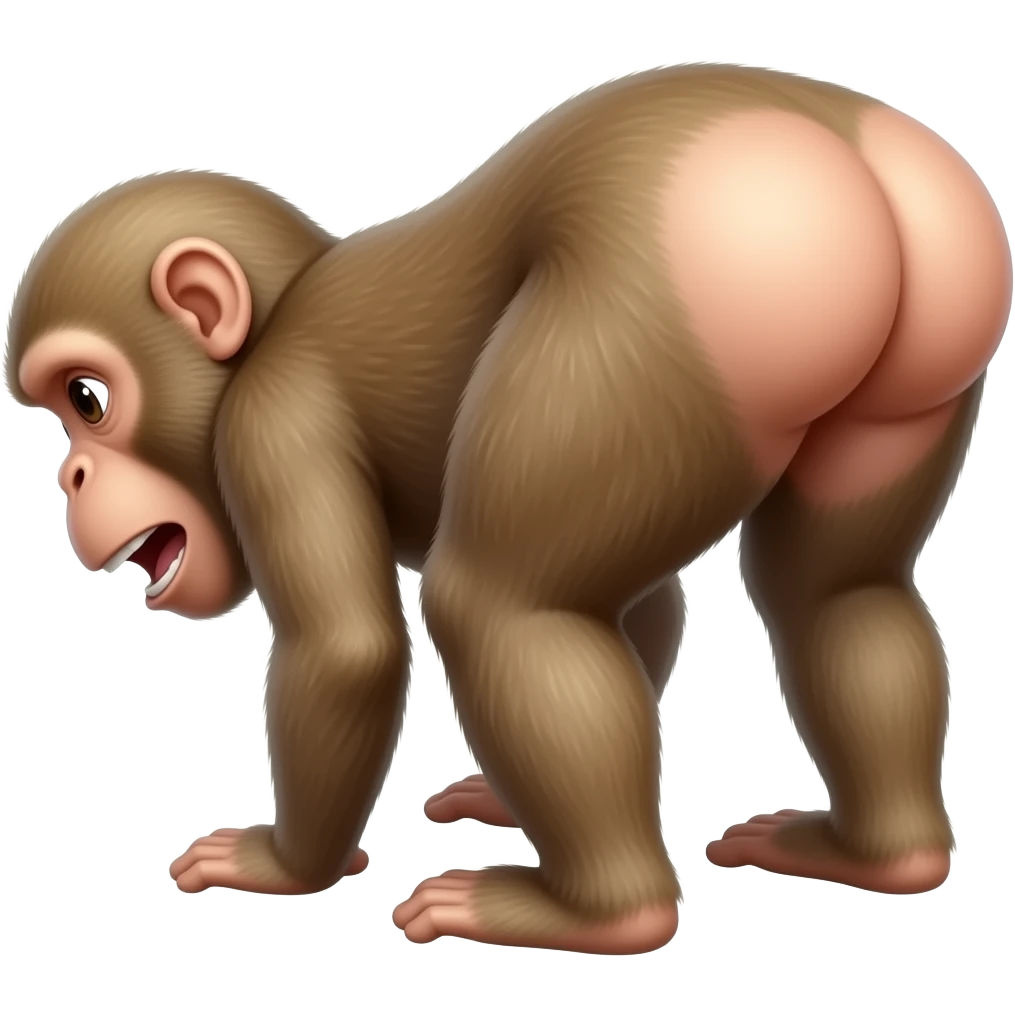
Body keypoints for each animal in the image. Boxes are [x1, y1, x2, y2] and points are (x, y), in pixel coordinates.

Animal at [4, 64, 1011, 955]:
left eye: (88, 399)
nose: (71, 477)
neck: (279, 312)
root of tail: (852, 160)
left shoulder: (272, 425)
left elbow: (347, 651)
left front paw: (284, 866)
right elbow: (645, 610)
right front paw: (497, 791)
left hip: (659, 312)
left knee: (495, 599)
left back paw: (595, 913)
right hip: (913, 357)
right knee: (836, 590)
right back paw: (875, 853)